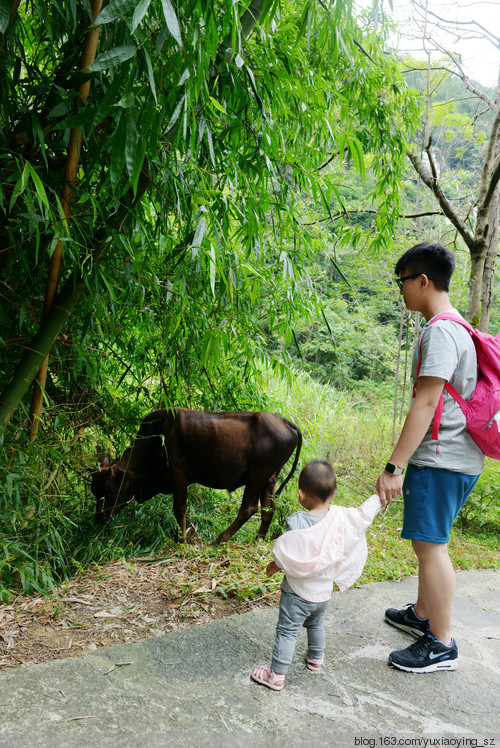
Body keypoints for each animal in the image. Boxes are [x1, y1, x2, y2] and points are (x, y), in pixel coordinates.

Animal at [90, 410, 300, 544]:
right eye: (94, 492)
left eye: (110, 490)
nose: (99, 519)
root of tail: (286, 422)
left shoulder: (179, 474)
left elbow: (179, 509)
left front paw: (181, 540)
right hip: (269, 479)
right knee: (268, 509)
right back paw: (258, 539)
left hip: (257, 476)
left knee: (249, 508)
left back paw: (220, 539)